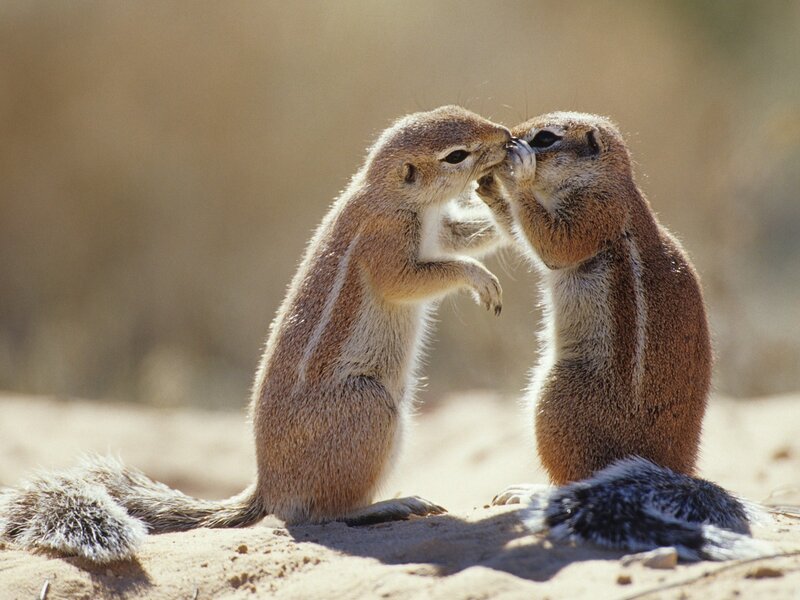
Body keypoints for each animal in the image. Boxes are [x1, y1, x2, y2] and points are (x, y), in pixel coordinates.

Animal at [0, 105, 512, 563]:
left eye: (467, 110)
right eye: (456, 155)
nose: (507, 136)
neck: (388, 194)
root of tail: (267, 486)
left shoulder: (443, 228)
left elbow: (467, 235)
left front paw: (505, 208)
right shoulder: (385, 243)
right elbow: (412, 278)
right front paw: (480, 278)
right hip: (370, 409)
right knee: (319, 514)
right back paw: (391, 503)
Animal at [476, 112, 771, 560]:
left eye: (545, 138)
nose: (508, 140)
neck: (606, 181)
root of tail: (672, 470)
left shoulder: (595, 215)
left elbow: (554, 242)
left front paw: (516, 172)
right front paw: (486, 186)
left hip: (557, 399)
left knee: (574, 476)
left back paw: (526, 492)